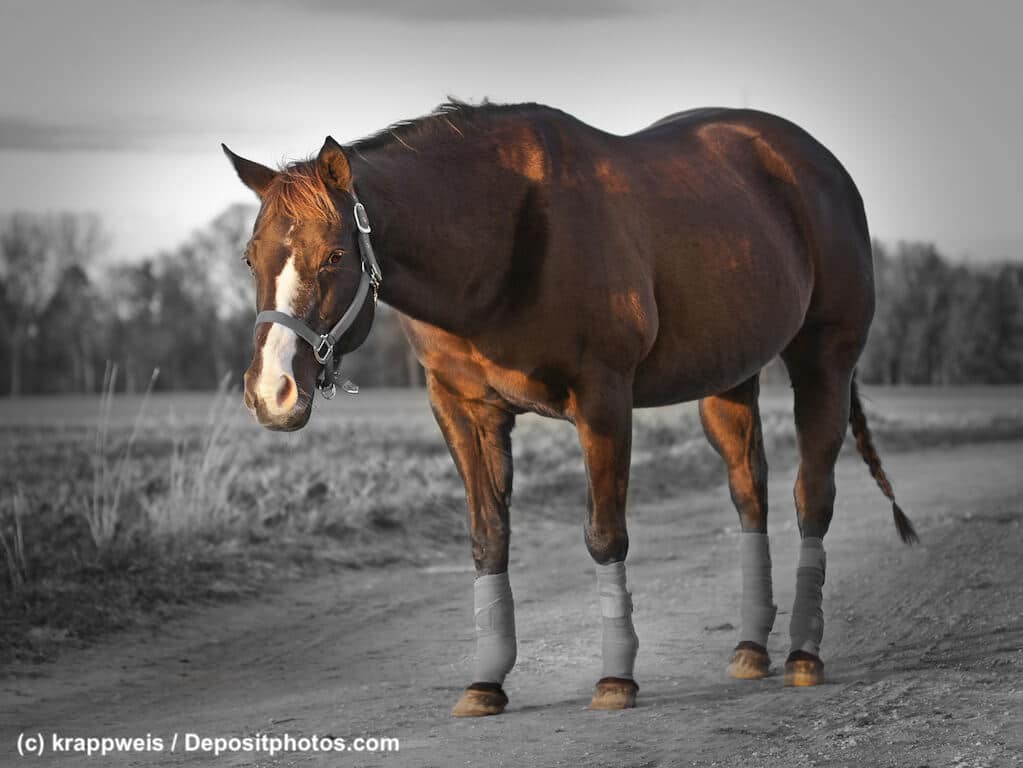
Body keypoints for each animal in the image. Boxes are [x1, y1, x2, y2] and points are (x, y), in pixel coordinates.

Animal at [223, 100, 916, 717]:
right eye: (251, 257)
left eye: (336, 255)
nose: (272, 392)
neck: (506, 243)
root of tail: (815, 163)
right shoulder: (464, 409)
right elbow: (488, 537)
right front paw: (486, 684)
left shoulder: (603, 398)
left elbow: (605, 535)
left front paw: (615, 679)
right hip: (730, 379)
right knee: (750, 494)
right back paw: (750, 648)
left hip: (823, 361)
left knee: (812, 497)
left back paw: (803, 653)